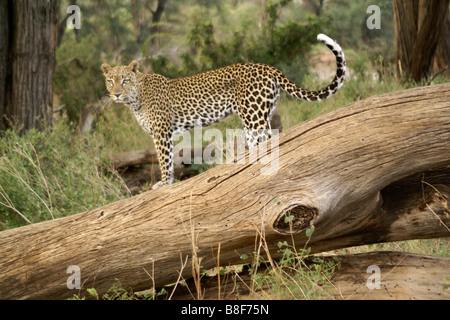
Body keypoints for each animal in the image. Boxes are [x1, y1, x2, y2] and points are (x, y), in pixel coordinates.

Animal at [102, 33, 346, 189]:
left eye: (124, 80)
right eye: (110, 81)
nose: (116, 94)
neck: (135, 99)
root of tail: (268, 67)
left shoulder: (162, 132)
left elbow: (164, 160)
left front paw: (163, 183)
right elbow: (169, 160)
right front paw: (167, 183)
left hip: (254, 116)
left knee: (268, 141)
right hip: (259, 117)